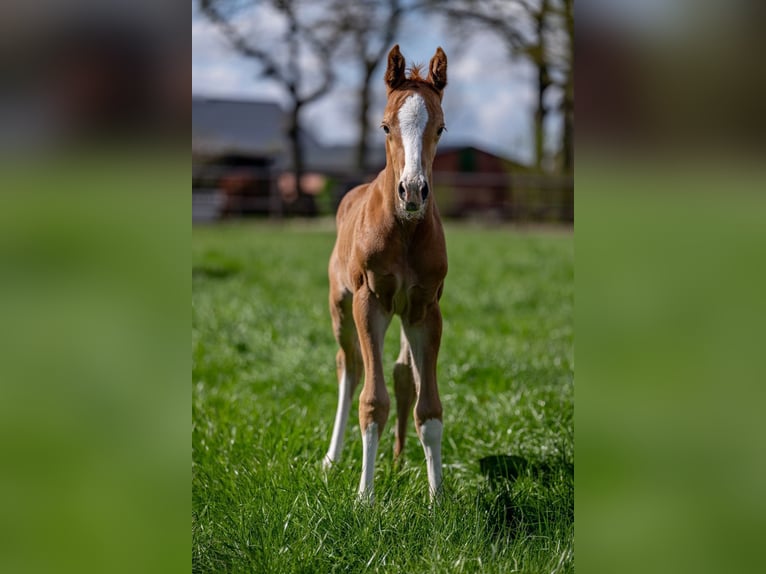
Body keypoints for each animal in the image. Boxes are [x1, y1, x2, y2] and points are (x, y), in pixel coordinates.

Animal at [324, 46, 450, 504]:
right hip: (341, 307)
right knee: (350, 367)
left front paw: (437, 500)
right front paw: (364, 498)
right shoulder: (370, 302)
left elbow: (428, 407)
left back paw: (396, 462)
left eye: (440, 128)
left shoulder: (424, 309)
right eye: (385, 126)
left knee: (400, 375)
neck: (405, 231)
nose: (412, 192)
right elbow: (372, 401)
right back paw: (331, 459)